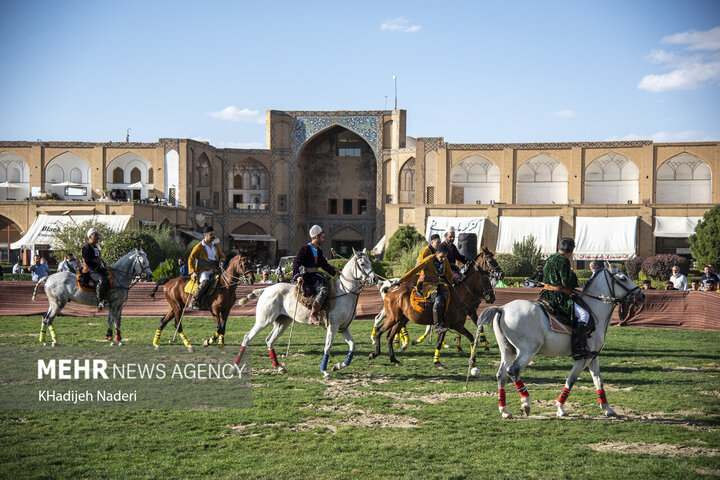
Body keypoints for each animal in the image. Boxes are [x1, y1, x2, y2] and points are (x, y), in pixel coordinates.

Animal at [233, 249, 380, 376]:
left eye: (370, 262)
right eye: (362, 263)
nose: (375, 279)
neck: (345, 292)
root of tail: (265, 290)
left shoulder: (343, 328)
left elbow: (352, 345)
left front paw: (338, 366)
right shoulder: (333, 327)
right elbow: (328, 347)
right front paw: (324, 370)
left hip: (282, 322)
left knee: (270, 341)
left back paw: (279, 367)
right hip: (264, 320)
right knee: (247, 337)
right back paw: (235, 367)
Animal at [480, 264, 644, 418]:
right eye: (623, 278)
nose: (642, 295)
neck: (594, 310)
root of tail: (502, 309)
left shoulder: (593, 357)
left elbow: (598, 380)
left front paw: (608, 409)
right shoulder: (583, 358)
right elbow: (571, 380)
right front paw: (560, 408)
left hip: (508, 350)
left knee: (501, 375)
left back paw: (505, 410)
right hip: (527, 351)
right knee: (513, 370)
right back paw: (526, 403)